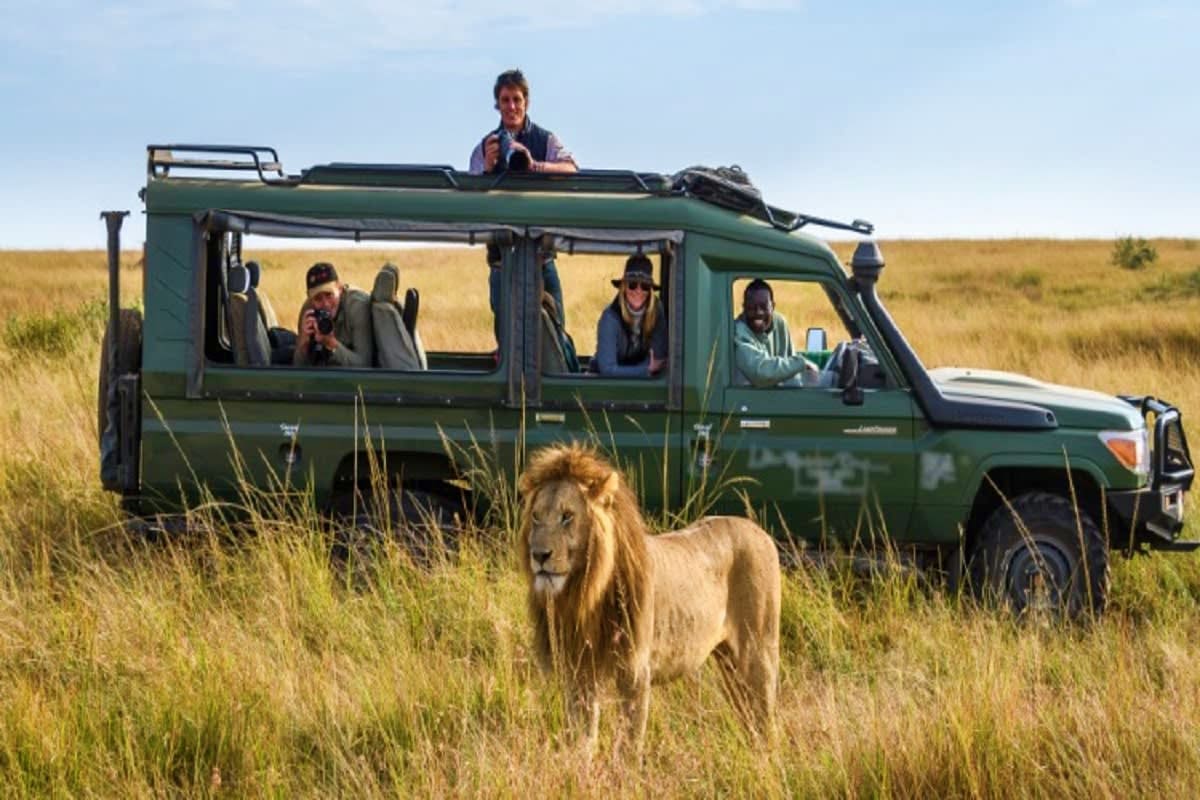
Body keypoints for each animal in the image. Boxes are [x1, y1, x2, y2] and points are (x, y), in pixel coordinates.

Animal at [518, 442, 781, 754]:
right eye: (536, 516)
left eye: (567, 516)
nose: (539, 555)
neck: (583, 595)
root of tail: (758, 531)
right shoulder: (579, 674)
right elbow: (582, 741)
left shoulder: (634, 675)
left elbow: (628, 748)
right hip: (729, 661)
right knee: (749, 718)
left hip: (758, 653)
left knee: (766, 721)